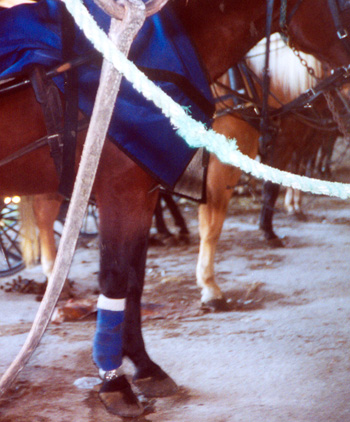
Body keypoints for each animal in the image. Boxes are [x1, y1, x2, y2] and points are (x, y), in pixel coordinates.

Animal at [2, 0, 350, 418]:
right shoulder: (125, 190)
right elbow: (121, 276)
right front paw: (114, 381)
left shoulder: (143, 192)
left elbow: (134, 281)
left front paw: (144, 365)